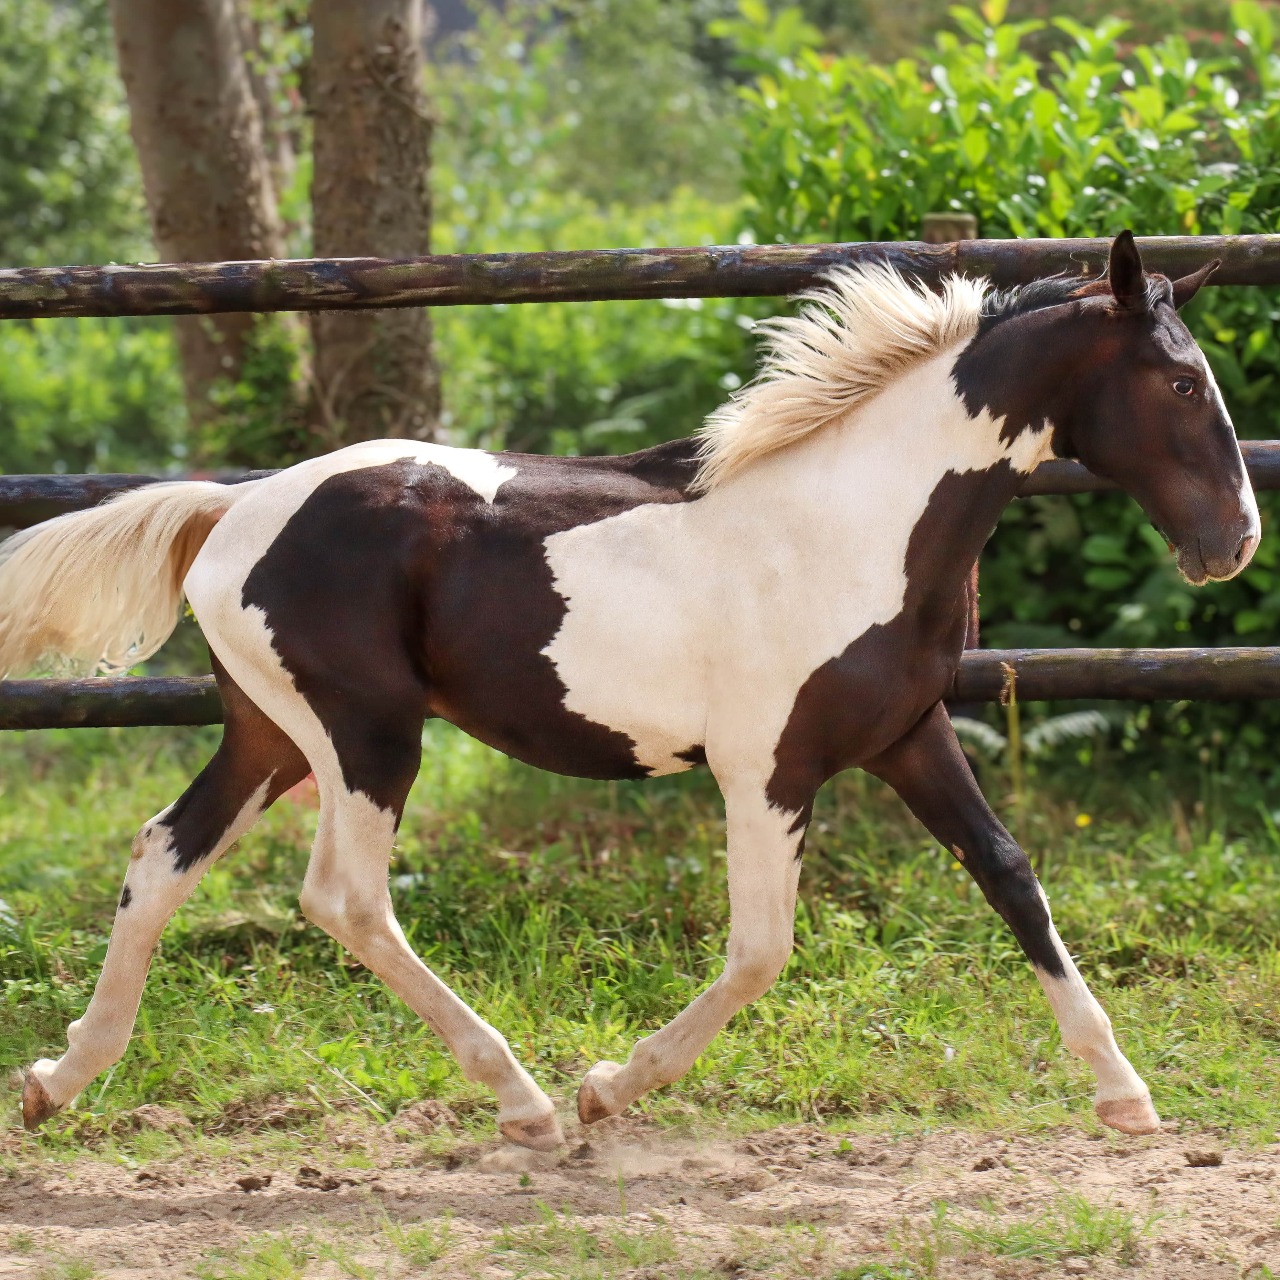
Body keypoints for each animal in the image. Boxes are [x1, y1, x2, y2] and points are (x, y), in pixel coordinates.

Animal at [0, 232, 1259, 1152]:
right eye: (1179, 379)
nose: (1233, 542)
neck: (852, 524)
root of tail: (233, 509)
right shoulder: (765, 768)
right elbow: (759, 947)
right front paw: (608, 1085)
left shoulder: (905, 735)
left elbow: (1008, 876)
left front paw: (1125, 1094)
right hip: (365, 733)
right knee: (345, 897)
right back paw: (526, 1100)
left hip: (272, 732)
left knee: (162, 852)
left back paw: (58, 1078)